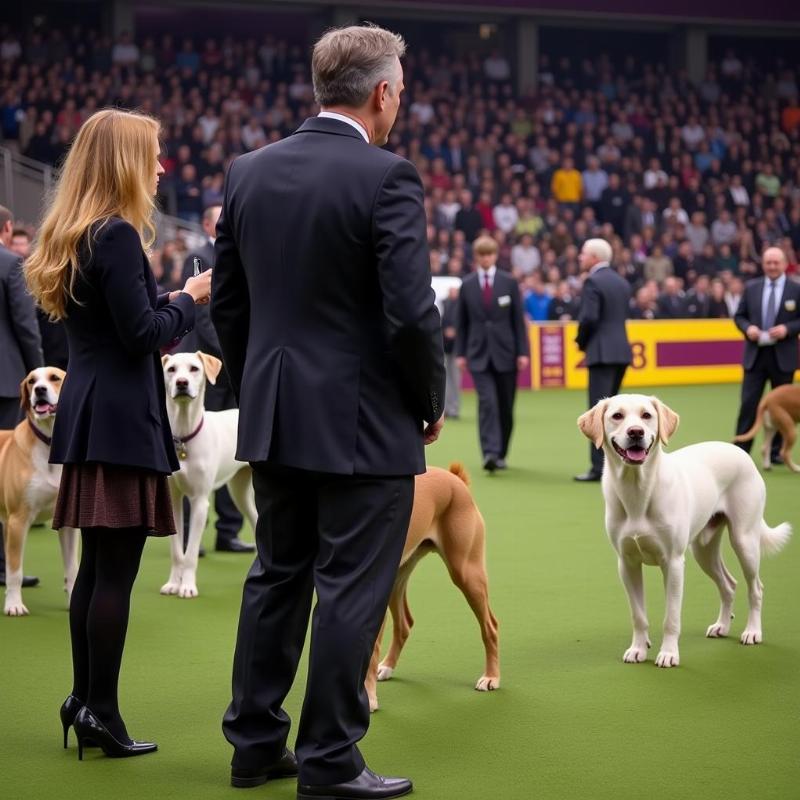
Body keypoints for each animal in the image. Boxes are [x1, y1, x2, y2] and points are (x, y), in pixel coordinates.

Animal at [163, 354, 260, 596]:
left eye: (194, 369)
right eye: (171, 369)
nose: (181, 383)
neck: (184, 436)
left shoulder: (199, 502)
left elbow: (190, 554)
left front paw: (187, 587)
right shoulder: (173, 499)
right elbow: (177, 551)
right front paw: (173, 584)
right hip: (240, 491)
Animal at [364, 462, 500, 712]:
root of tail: (454, 478)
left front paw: (368, 699)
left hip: (467, 573)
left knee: (491, 626)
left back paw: (491, 677)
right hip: (397, 578)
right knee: (405, 624)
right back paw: (387, 666)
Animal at [580, 394, 792, 668]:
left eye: (647, 415)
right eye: (617, 416)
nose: (636, 432)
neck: (638, 489)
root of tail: (739, 451)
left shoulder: (672, 563)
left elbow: (671, 618)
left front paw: (669, 654)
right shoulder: (627, 564)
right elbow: (638, 615)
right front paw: (638, 649)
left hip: (744, 541)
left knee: (756, 588)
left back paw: (753, 631)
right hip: (703, 549)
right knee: (729, 585)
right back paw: (722, 626)